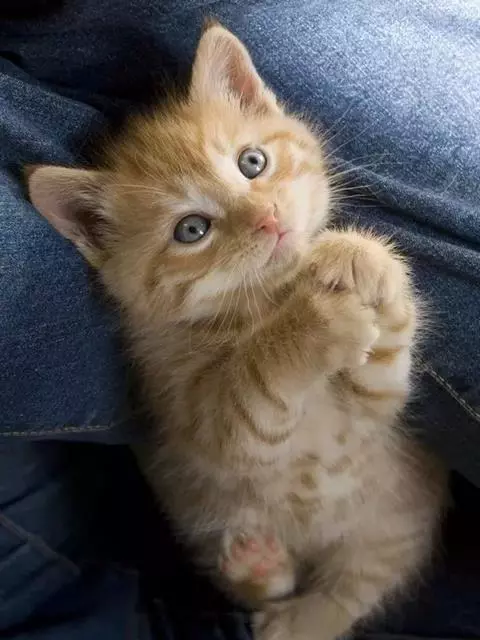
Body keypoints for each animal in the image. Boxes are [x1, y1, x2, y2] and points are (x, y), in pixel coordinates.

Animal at [27, 21, 447, 640]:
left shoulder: (376, 415)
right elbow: (253, 387)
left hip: (391, 521)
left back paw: (297, 610)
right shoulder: (200, 416)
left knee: (354, 587)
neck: (265, 301)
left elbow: (384, 377)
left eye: (253, 162)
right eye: (192, 229)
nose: (268, 220)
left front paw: (366, 260)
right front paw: (312, 324)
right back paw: (260, 571)